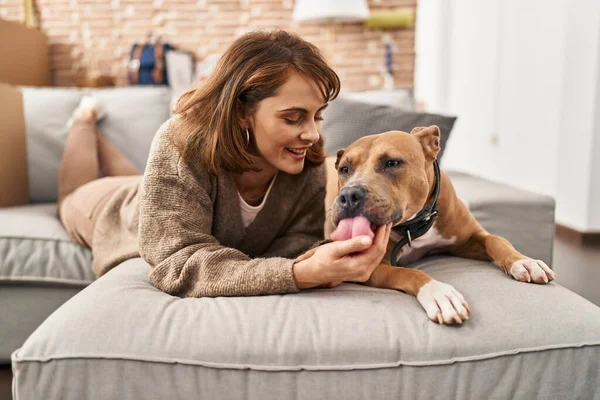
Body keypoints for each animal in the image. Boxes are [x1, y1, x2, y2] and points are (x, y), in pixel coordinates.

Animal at [326, 125, 556, 324]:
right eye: (344, 169)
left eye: (392, 163)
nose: (348, 195)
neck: (413, 226)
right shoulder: (366, 267)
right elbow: (408, 273)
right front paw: (439, 293)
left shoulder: (469, 238)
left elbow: (496, 240)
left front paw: (524, 261)